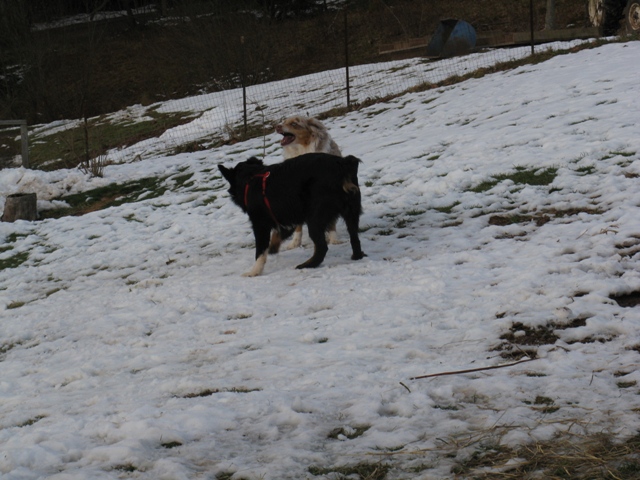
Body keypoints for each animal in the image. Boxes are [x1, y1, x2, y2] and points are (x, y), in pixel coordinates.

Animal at [218, 153, 365, 277]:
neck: (250, 177)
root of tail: (342, 164)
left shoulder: (260, 225)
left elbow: (260, 252)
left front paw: (254, 272)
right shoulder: (287, 219)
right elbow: (279, 235)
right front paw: (273, 248)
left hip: (315, 219)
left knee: (322, 248)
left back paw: (307, 265)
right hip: (351, 213)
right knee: (355, 239)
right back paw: (357, 256)